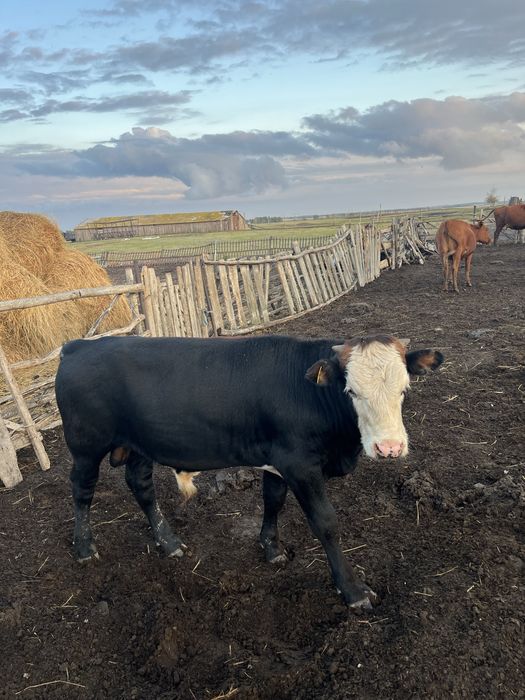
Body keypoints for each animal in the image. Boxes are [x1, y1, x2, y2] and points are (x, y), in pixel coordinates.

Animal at [55, 334, 444, 613]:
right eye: (351, 391)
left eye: (404, 389)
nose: (389, 447)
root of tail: (79, 346)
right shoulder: (300, 464)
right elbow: (326, 523)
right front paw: (352, 589)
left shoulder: (278, 461)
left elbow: (272, 501)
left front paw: (271, 547)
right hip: (86, 447)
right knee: (82, 490)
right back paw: (84, 545)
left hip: (138, 447)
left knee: (141, 486)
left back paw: (169, 542)